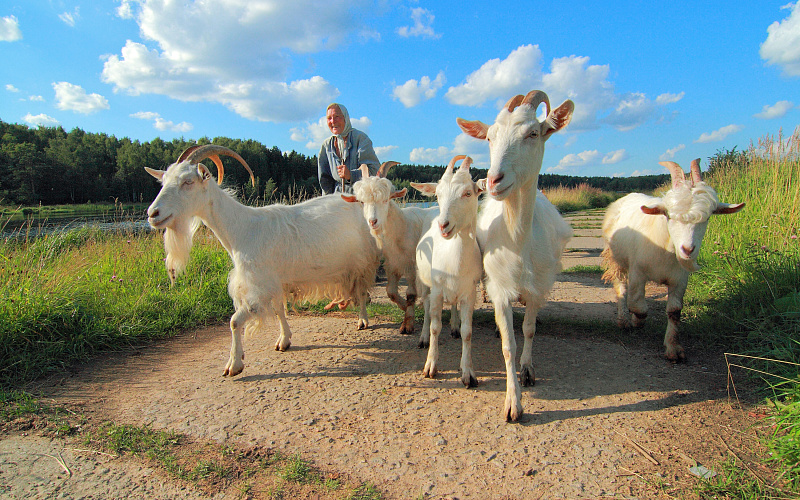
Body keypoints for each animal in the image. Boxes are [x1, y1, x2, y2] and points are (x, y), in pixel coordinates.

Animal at [145, 145, 380, 376]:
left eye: (188, 181)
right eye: (163, 181)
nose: (152, 214)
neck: (242, 228)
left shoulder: (258, 286)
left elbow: (234, 322)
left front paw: (234, 364)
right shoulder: (273, 282)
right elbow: (278, 309)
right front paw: (284, 340)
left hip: (363, 260)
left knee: (361, 290)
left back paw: (363, 320)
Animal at [338, 162, 438, 338]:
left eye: (385, 200)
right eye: (362, 202)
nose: (373, 221)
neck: (402, 228)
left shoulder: (411, 266)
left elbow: (411, 293)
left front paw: (408, 323)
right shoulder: (392, 265)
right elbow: (390, 291)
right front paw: (404, 306)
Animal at [412, 155, 482, 386]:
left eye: (468, 193)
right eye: (438, 194)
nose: (444, 225)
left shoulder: (470, 292)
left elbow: (468, 332)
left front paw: (468, 373)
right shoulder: (437, 290)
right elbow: (435, 326)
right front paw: (430, 367)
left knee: (453, 306)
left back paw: (454, 326)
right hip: (424, 281)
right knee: (425, 307)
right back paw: (423, 338)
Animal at [456, 91, 576, 422]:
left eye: (533, 133)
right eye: (489, 138)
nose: (494, 180)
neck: (519, 241)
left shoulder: (538, 287)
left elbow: (529, 330)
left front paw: (527, 370)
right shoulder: (500, 288)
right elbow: (508, 343)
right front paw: (513, 404)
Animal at [604, 159, 748, 360]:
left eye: (708, 217)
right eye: (668, 215)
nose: (688, 250)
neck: (666, 247)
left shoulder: (679, 279)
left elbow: (674, 311)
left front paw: (673, 349)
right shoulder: (637, 272)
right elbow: (638, 307)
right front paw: (636, 321)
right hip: (617, 260)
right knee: (621, 288)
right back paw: (623, 320)